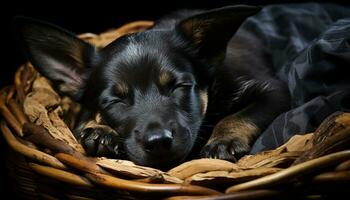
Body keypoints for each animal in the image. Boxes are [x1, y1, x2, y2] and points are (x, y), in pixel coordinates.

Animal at [13, 4, 290, 168]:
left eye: (179, 86)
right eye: (115, 101)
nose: (158, 141)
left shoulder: (274, 89)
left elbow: (240, 115)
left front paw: (224, 140)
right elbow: (84, 122)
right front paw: (100, 131)